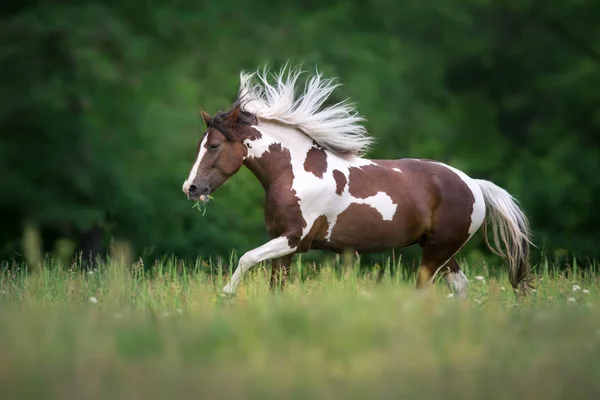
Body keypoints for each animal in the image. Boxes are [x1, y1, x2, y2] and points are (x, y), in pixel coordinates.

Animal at [183, 64, 536, 298]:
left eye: (214, 146)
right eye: (201, 144)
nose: (191, 188)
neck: (294, 173)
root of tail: (474, 184)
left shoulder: (294, 240)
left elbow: (246, 257)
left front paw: (226, 293)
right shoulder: (283, 246)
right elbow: (274, 287)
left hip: (437, 251)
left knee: (425, 290)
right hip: (440, 249)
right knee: (460, 287)